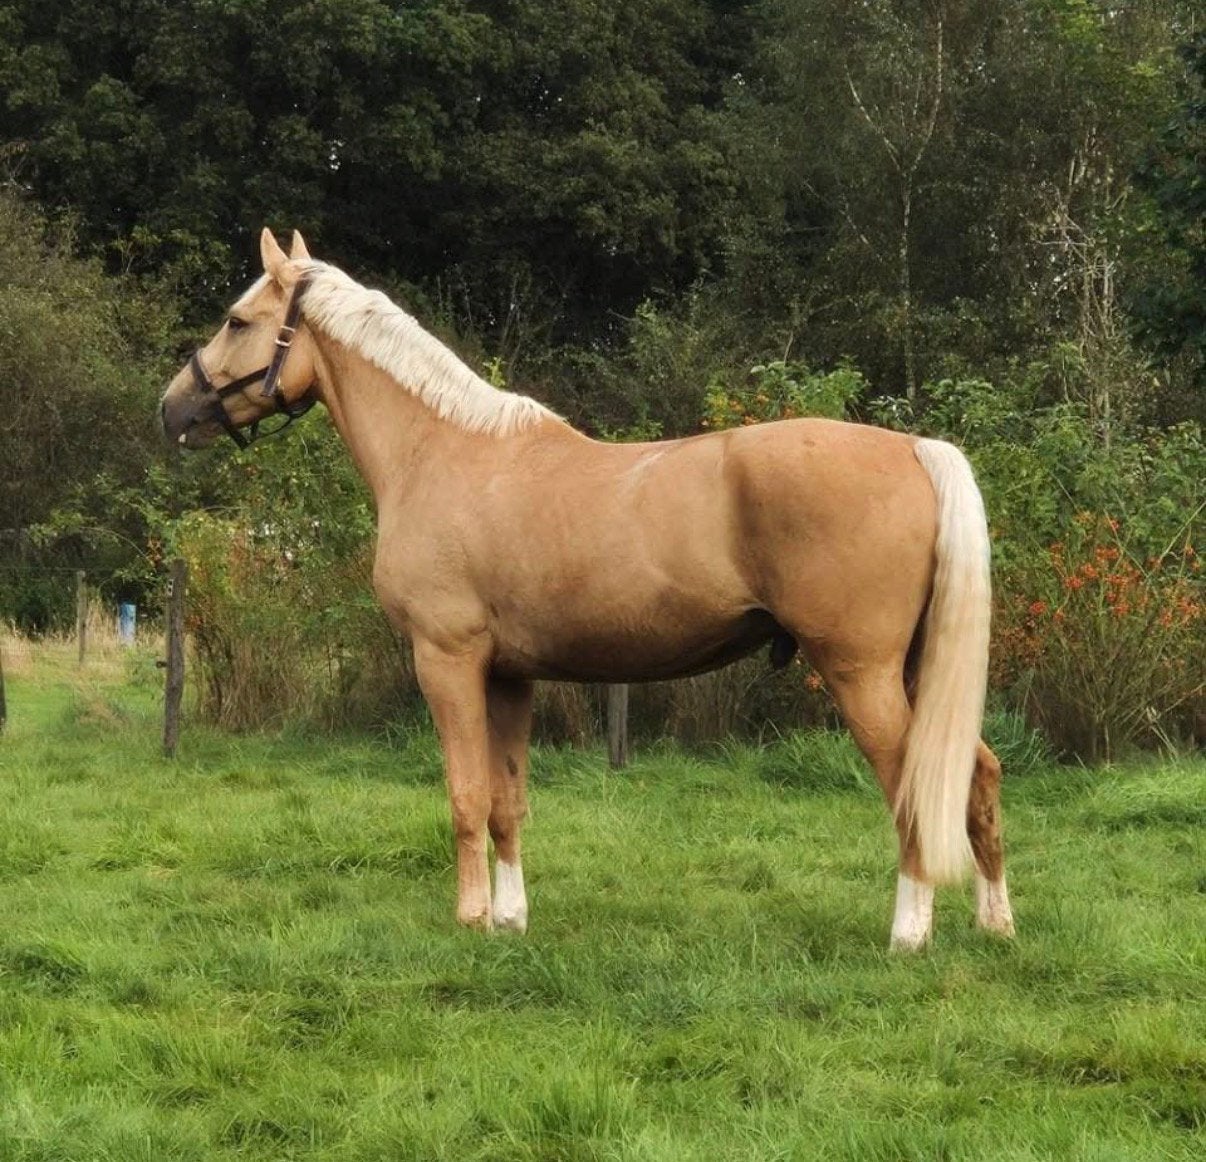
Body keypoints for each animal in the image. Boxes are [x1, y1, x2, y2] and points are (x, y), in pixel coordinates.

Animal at [160, 228, 1015, 950]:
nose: (172, 408)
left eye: (237, 320)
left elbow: (466, 795)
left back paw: (909, 934)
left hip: (860, 672)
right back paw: (995, 923)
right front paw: (511, 920)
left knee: (914, 785)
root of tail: (915, 448)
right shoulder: (509, 676)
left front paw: (471, 918)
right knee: (976, 773)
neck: (443, 452)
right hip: (912, 670)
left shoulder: (446, 661)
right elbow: (507, 802)